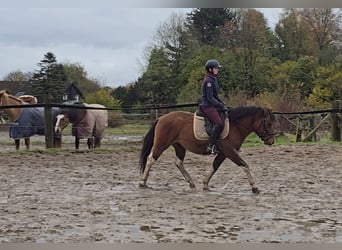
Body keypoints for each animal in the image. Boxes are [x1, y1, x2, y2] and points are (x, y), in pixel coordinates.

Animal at [139, 106, 276, 194]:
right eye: (269, 123)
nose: (271, 141)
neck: (236, 125)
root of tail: (161, 118)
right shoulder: (230, 151)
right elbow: (244, 165)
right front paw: (254, 187)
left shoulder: (223, 153)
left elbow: (215, 166)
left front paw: (205, 184)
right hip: (161, 144)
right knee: (151, 159)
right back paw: (143, 182)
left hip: (179, 146)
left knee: (178, 163)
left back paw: (191, 183)